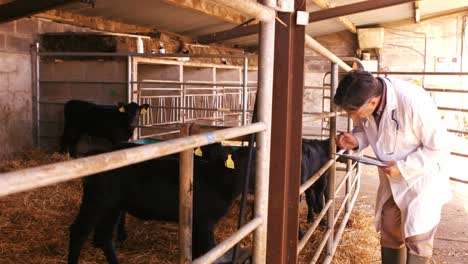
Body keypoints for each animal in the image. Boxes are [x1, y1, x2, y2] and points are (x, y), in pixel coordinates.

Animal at [67, 144, 250, 264]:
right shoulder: (205, 222)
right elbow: (208, 251)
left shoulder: (197, 224)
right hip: (96, 201)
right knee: (78, 232)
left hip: (113, 206)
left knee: (104, 237)